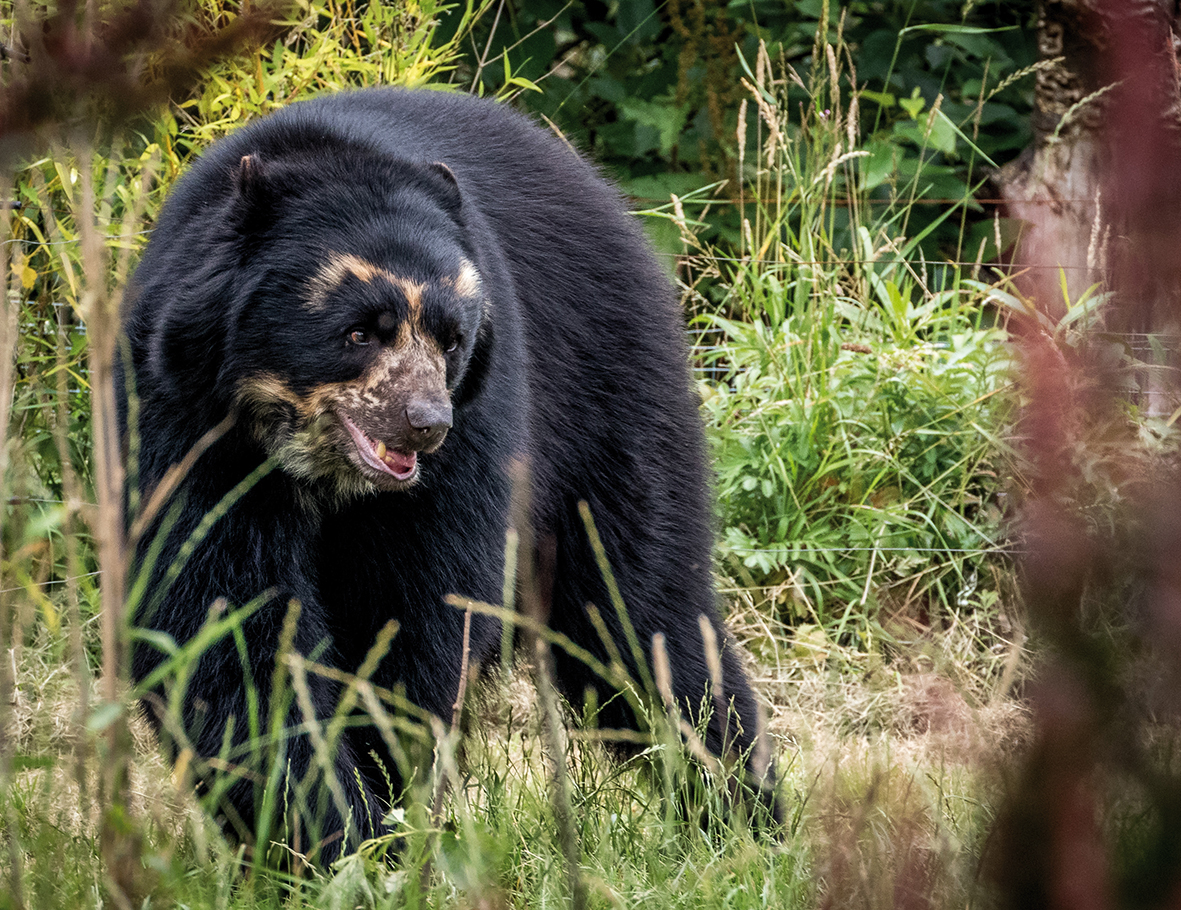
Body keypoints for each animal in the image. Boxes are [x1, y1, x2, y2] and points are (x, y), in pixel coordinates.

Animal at [119, 89, 779, 863]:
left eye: (451, 338)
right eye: (359, 331)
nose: (425, 422)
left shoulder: (473, 441)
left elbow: (421, 607)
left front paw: (379, 809)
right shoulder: (187, 420)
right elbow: (220, 608)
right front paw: (323, 836)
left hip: (612, 402)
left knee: (640, 611)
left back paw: (741, 812)